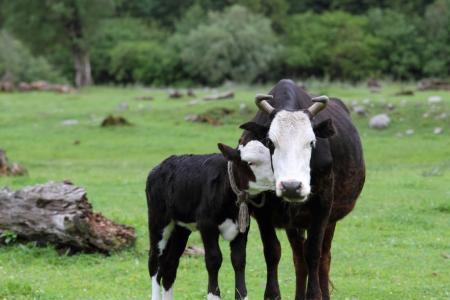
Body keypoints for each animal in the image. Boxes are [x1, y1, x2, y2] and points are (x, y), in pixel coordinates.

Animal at [148, 141, 274, 300]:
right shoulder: (207, 224)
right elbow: (214, 259)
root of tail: (161, 165)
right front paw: (213, 295)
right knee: (154, 262)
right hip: (158, 221)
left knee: (169, 265)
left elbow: (239, 260)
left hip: (180, 229)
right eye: (250, 163)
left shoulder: (242, 226)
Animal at [239, 79, 366, 300]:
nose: (291, 186)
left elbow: (313, 252)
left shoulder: (322, 207)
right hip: (294, 223)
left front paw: (315, 294)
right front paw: (272, 294)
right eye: (269, 142)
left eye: (312, 141)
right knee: (299, 258)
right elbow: (272, 251)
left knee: (324, 256)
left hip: (330, 218)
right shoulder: (262, 212)